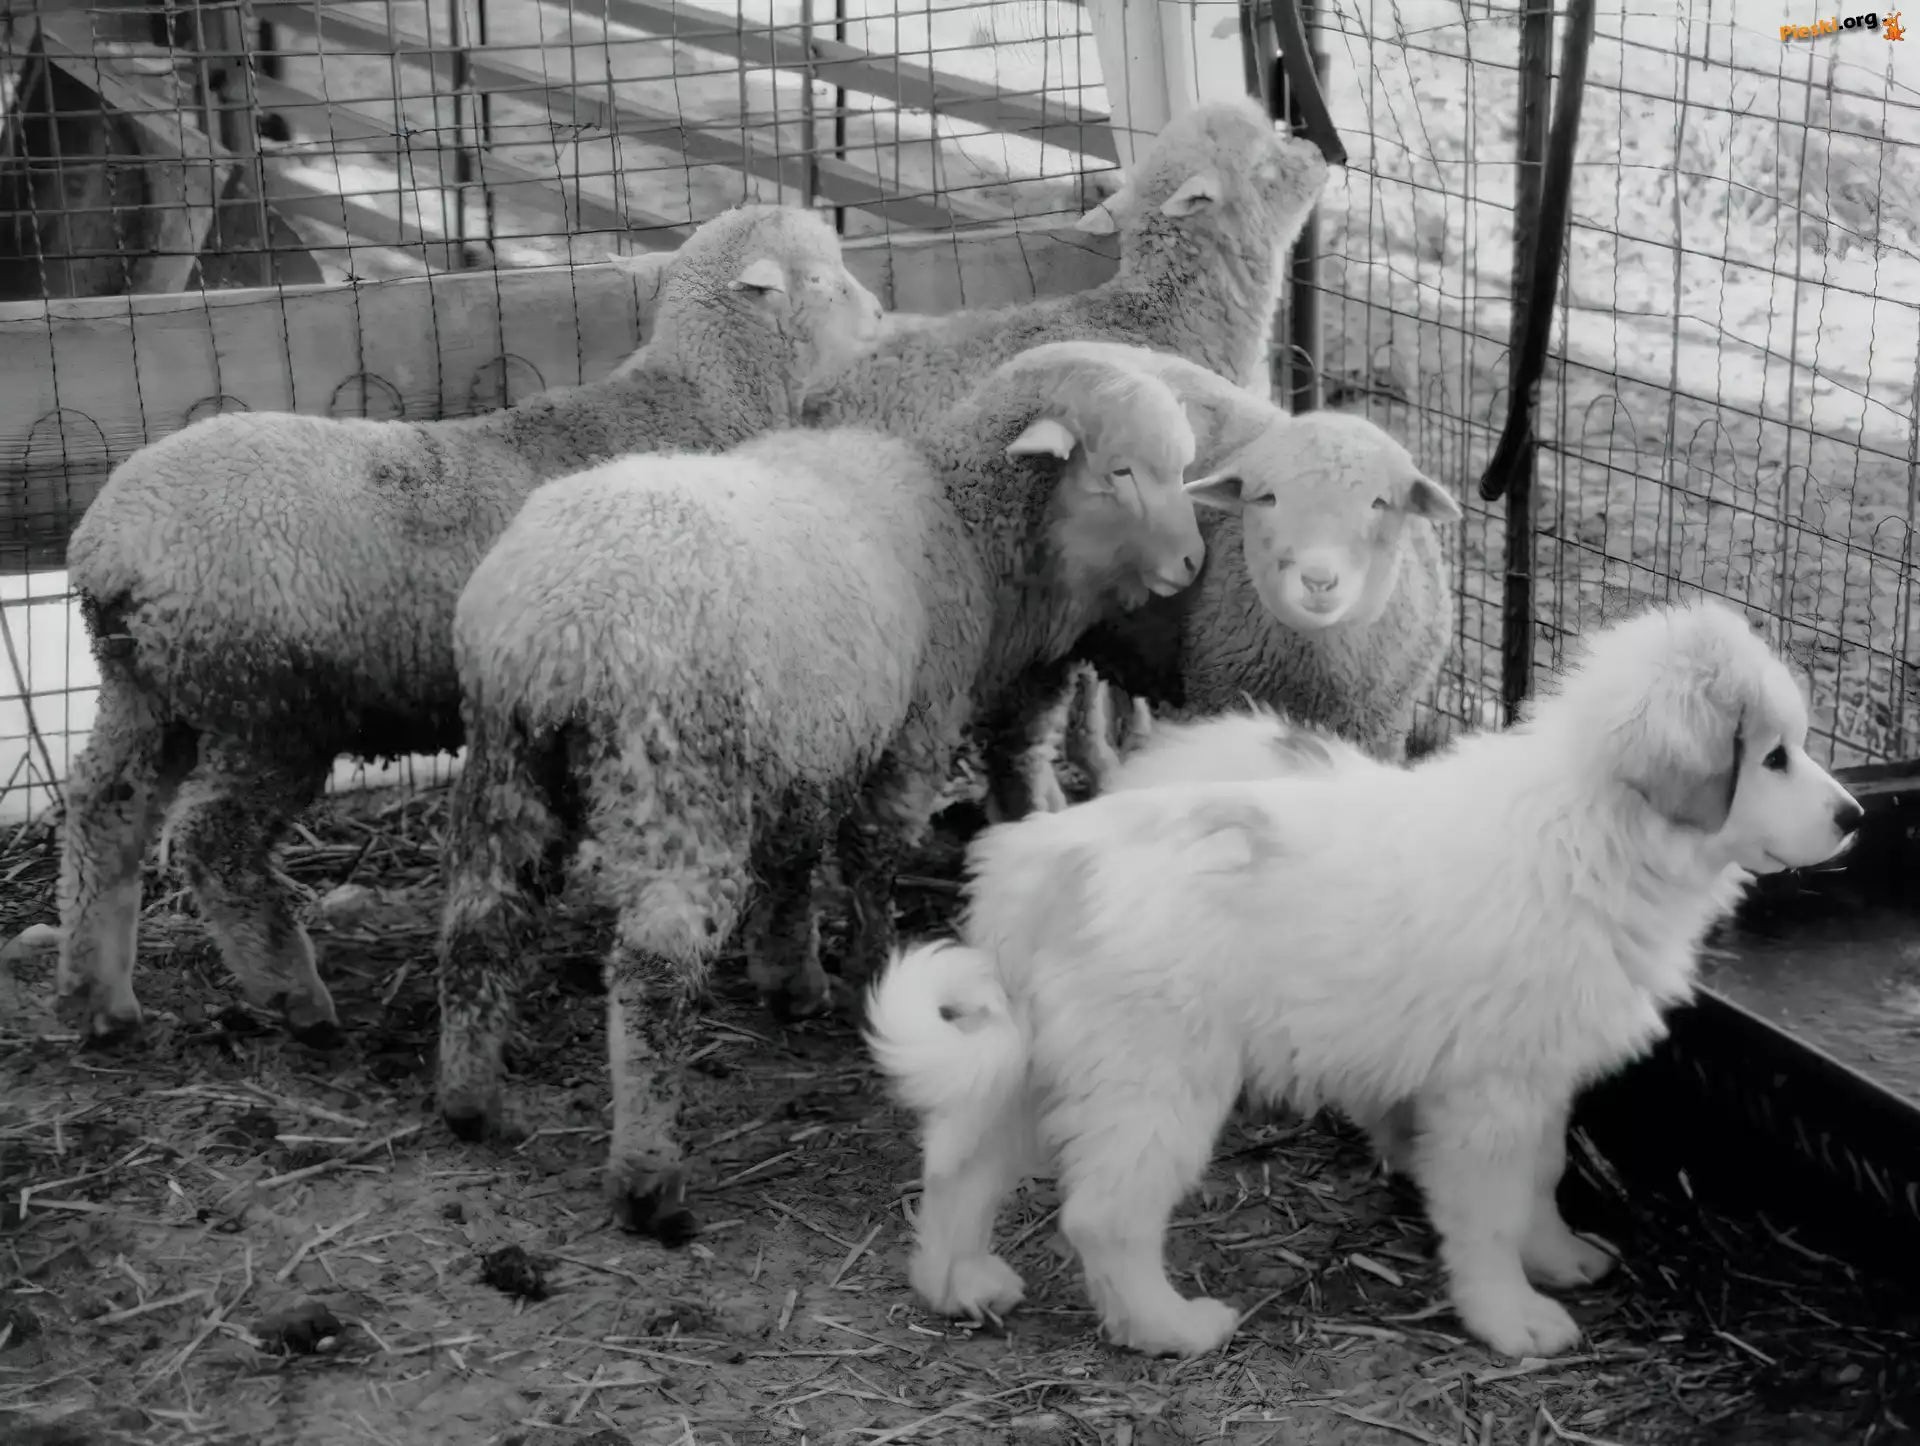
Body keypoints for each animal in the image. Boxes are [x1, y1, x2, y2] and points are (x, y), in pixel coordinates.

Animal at [55, 204, 884, 1048]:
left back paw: (99, 996)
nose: (883, 315)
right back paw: (292, 994)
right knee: (213, 839)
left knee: (102, 809)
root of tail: (111, 543)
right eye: (828, 279)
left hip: (147, 689)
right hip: (269, 703)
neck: (703, 397)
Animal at [431, 343, 1224, 1243]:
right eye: (1121, 472)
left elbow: (793, 860)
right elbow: (871, 861)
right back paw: (647, 1177)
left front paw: (791, 977)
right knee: (653, 971)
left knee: (481, 918)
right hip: (674, 777)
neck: (964, 523)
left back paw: (472, 1101)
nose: (1193, 564)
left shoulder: (807, 748)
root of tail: (558, 626)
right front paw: (870, 974)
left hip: (507, 762)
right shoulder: (909, 734)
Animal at [864, 598, 1864, 1360]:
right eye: (1772, 756)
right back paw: (1171, 1328)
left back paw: (958, 1284)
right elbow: (1489, 1213)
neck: (1594, 830)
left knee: (959, 1165)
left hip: (1040, 1061)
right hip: (1155, 1085)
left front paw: (1559, 1257)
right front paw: (1513, 1318)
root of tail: (1038, 858)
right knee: (1104, 1215)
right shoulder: (1487, 1096)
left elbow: (1540, 1179)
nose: (1853, 817)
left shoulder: (1536, 1079)